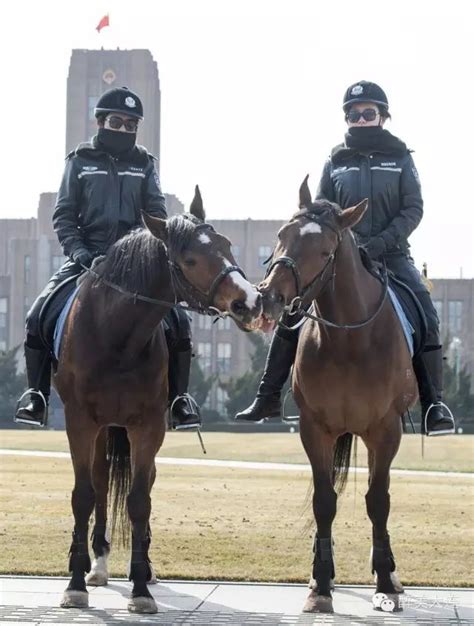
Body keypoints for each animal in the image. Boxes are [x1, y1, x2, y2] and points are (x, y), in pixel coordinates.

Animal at [55, 188, 262, 612]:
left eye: (227, 245)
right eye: (191, 259)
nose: (250, 301)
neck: (117, 335)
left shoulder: (148, 426)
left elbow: (139, 500)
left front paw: (140, 588)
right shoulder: (79, 422)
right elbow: (83, 496)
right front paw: (75, 584)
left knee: (138, 483)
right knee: (99, 483)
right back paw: (95, 565)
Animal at [258, 177, 416, 616]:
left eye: (325, 251)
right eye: (282, 235)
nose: (269, 298)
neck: (349, 340)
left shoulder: (386, 431)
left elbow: (378, 500)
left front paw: (384, 581)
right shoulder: (315, 429)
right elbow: (324, 501)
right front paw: (320, 586)